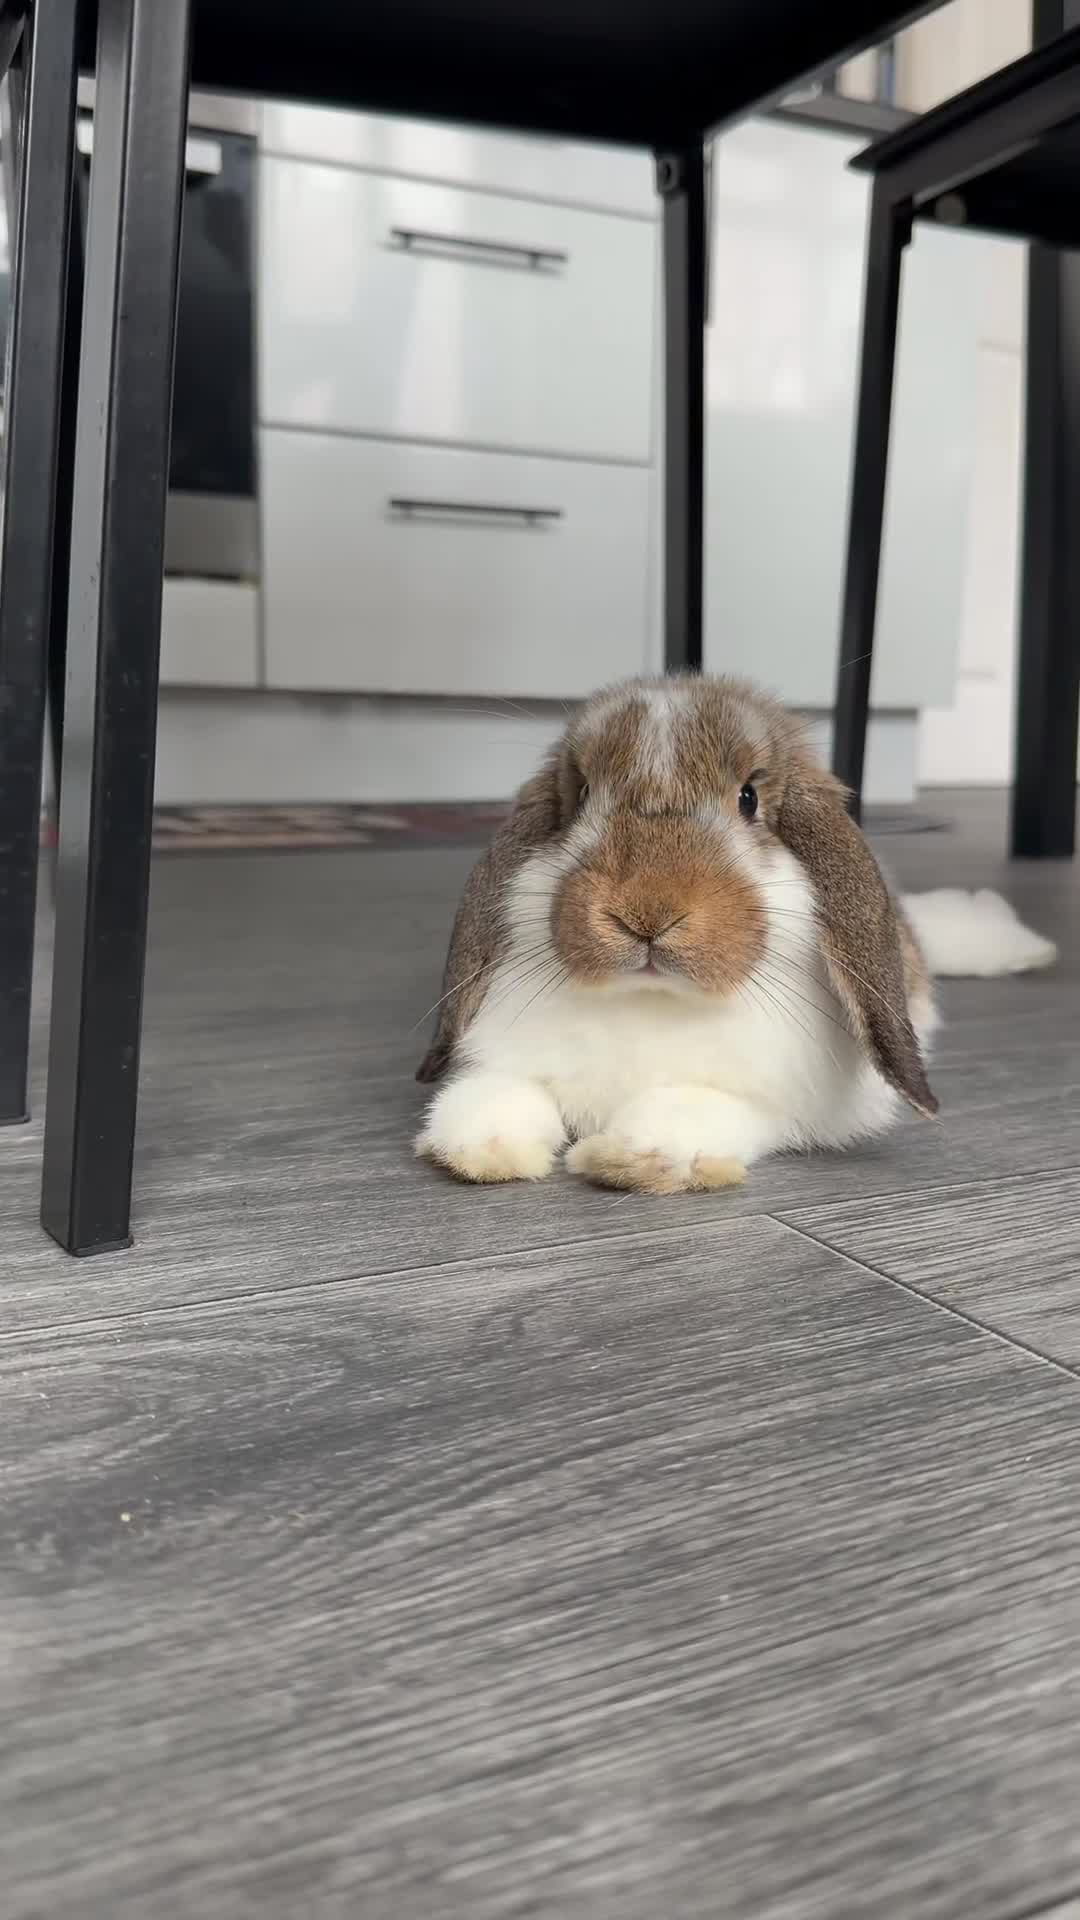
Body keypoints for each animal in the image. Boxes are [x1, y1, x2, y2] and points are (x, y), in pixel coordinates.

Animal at [414, 673, 939, 1194]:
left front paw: (624, 1156)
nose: (646, 915)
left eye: (748, 798)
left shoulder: (768, 1104)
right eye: (582, 794)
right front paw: (483, 1148)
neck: (652, 998)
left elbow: (693, 1108)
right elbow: (498, 1092)